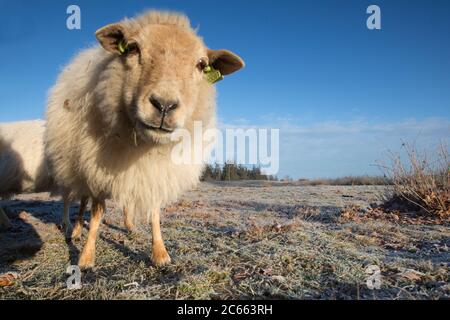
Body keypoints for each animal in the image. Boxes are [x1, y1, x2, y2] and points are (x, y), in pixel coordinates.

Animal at [44, 10, 246, 268]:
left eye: (201, 65)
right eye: (132, 48)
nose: (165, 105)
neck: (143, 144)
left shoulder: (155, 172)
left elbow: (154, 213)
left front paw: (160, 253)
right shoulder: (98, 169)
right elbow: (97, 213)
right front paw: (86, 257)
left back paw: (129, 225)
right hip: (77, 165)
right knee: (80, 201)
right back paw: (76, 229)